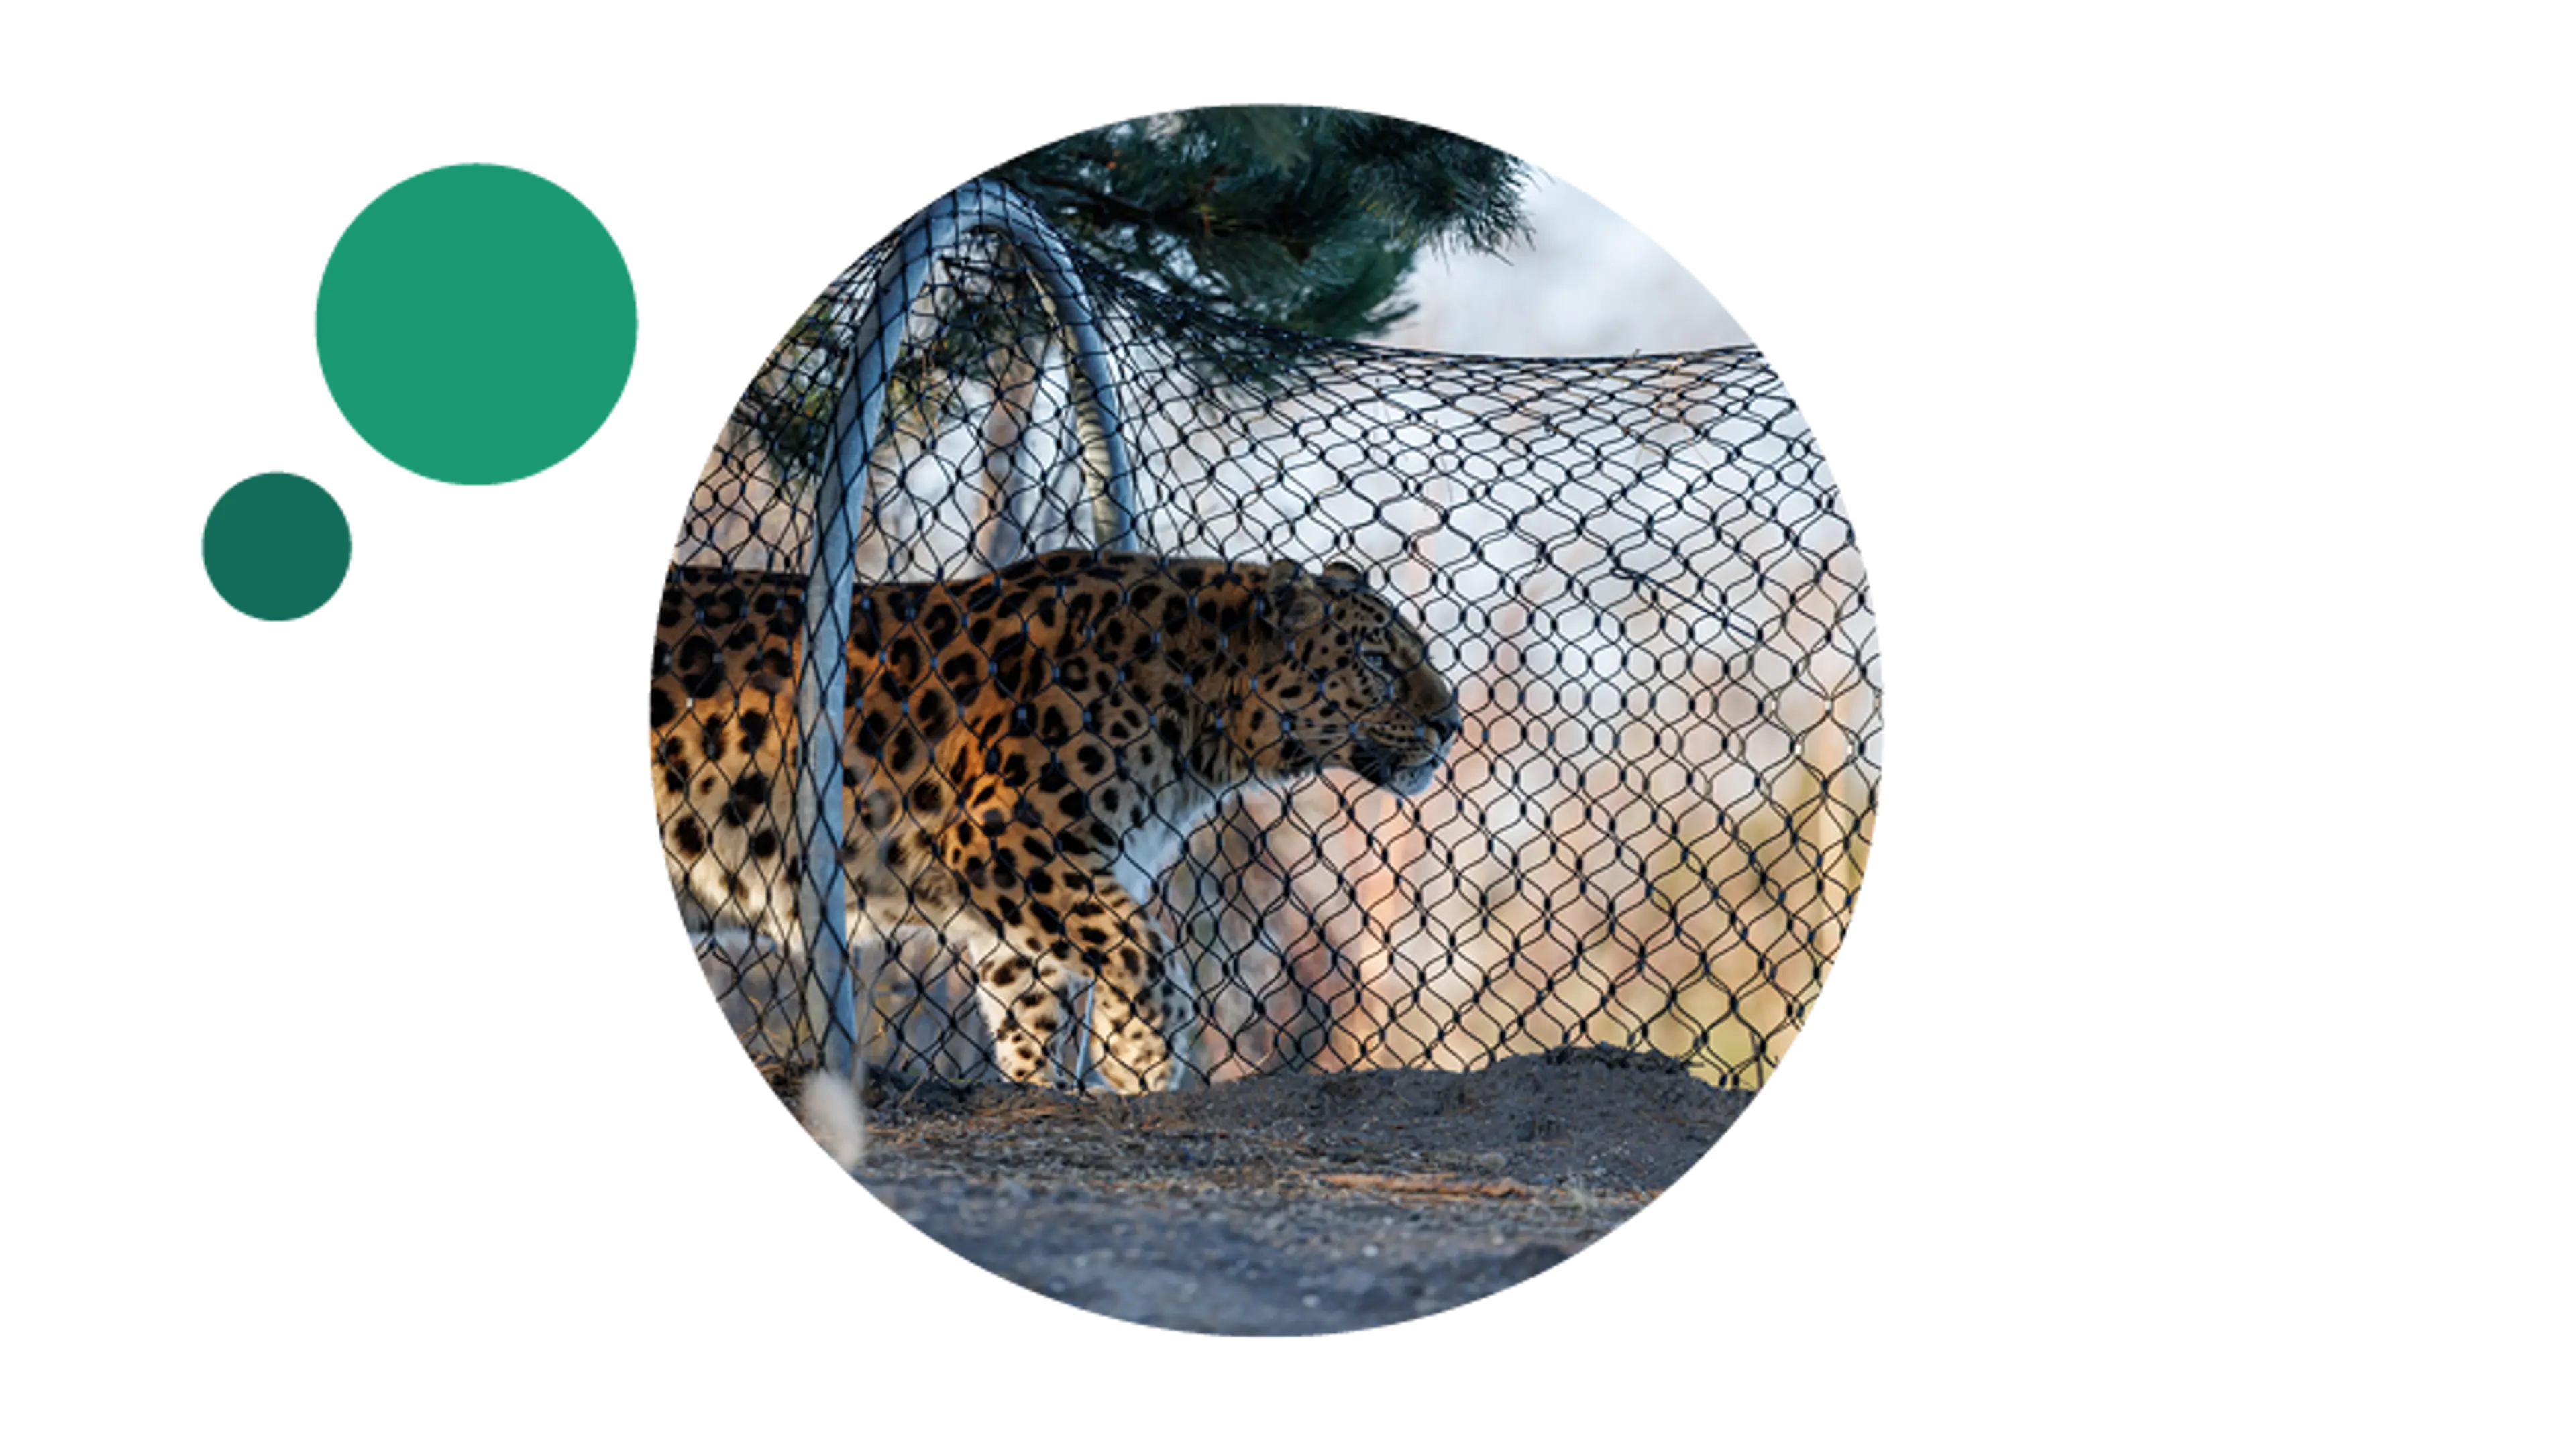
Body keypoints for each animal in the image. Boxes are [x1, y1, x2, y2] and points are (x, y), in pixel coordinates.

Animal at [647, 548, 1461, 1093]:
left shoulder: (1016, 908)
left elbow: (1028, 1007)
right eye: (1379, 663)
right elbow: (1145, 948)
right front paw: (1140, 1058)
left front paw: (1043, 1085)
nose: (1450, 722)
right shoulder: (1002, 837)